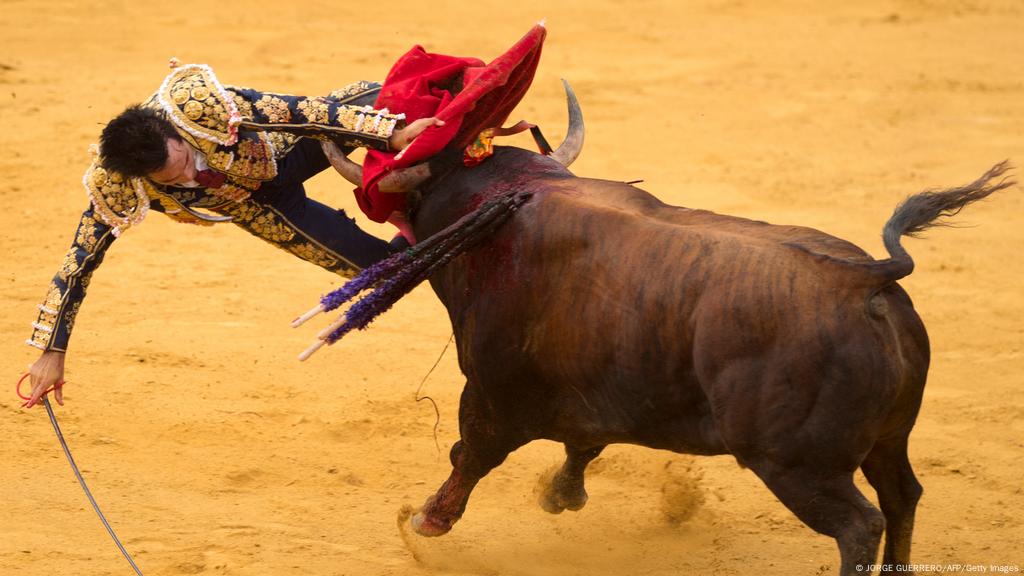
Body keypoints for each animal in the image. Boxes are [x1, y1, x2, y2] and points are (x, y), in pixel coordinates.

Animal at [321, 81, 1015, 573]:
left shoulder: (491, 391)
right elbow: (583, 442)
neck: (505, 202)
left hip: (797, 465)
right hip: (888, 440)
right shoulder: (601, 389)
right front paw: (561, 495)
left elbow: (470, 453)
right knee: (903, 498)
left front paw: (425, 523)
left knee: (859, 526)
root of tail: (868, 277)